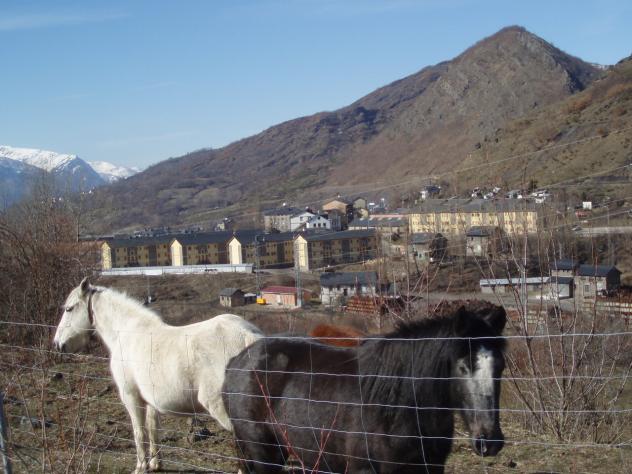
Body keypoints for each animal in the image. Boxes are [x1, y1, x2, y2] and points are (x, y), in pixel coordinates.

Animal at [53, 278, 263, 474]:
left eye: (69, 309)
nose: (57, 344)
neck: (127, 333)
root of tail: (248, 337)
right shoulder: (151, 400)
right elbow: (153, 430)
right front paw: (155, 464)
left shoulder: (131, 397)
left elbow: (139, 433)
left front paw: (140, 467)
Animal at [223, 304, 507, 473]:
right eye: (463, 366)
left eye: (500, 366)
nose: (489, 441)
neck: (399, 405)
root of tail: (237, 360)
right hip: (261, 453)